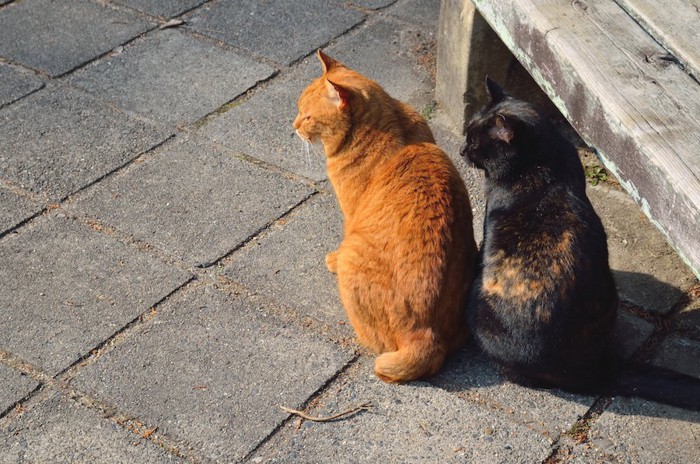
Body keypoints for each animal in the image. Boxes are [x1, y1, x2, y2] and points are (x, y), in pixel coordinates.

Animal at [292, 50, 478, 382]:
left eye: (308, 116)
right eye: (299, 110)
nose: (293, 125)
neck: (392, 126)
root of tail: (425, 336)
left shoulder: (351, 213)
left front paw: (332, 259)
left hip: (354, 260)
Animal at [460, 77, 700, 410]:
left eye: (475, 142)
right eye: (467, 134)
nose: (460, 151)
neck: (543, 164)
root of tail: (596, 371)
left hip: (479, 309)